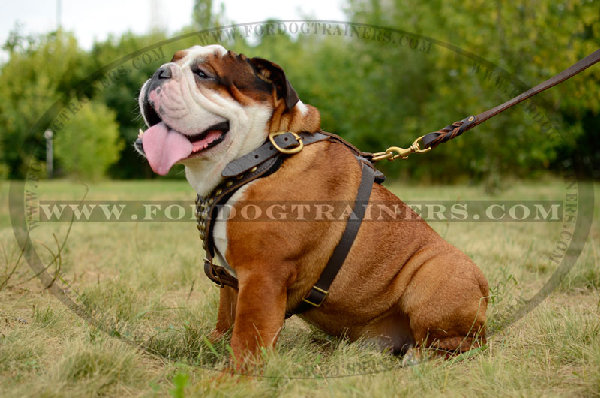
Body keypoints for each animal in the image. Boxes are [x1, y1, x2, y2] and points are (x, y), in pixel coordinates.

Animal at [135, 44, 488, 366]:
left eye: (203, 74)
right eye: (175, 60)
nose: (159, 72)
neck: (264, 154)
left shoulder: (263, 274)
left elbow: (248, 334)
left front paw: (235, 377)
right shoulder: (231, 278)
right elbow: (227, 316)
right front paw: (214, 344)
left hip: (436, 274)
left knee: (466, 343)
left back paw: (422, 356)